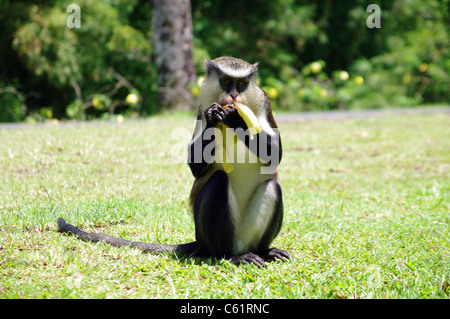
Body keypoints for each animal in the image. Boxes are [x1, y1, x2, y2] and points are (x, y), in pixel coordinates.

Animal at [57, 57, 288, 268]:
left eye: (241, 83)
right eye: (225, 81)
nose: (234, 96)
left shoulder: (264, 103)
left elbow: (275, 154)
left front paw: (236, 119)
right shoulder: (201, 108)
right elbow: (196, 166)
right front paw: (215, 117)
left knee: (272, 186)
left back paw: (264, 251)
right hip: (210, 235)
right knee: (218, 181)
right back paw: (229, 256)